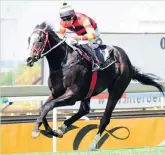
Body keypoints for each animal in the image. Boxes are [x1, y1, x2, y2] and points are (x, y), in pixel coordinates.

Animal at [25, 21, 164, 150]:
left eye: (40, 39)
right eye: (29, 39)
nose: (29, 59)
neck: (64, 63)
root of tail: (127, 60)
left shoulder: (72, 95)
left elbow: (48, 106)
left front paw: (37, 131)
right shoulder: (55, 93)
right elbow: (43, 107)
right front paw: (48, 130)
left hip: (116, 90)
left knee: (105, 119)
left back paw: (92, 146)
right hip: (88, 92)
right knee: (84, 110)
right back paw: (62, 128)